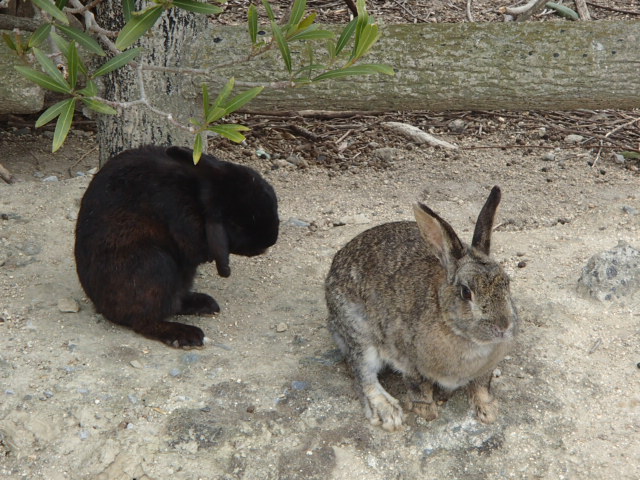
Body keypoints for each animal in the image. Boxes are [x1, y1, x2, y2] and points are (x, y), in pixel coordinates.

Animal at [74, 144, 278, 346]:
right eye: (237, 223)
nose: (269, 241)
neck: (195, 194)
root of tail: (99, 304)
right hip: (154, 264)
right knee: (144, 321)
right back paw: (185, 335)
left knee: (175, 302)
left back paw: (204, 304)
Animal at [328, 187, 516, 432]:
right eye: (466, 292)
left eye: (507, 282)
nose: (503, 326)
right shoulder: (407, 359)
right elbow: (418, 385)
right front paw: (426, 411)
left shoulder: (484, 370)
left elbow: (481, 385)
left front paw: (487, 411)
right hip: (358, 330)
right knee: (362, 373)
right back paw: (388, 412)